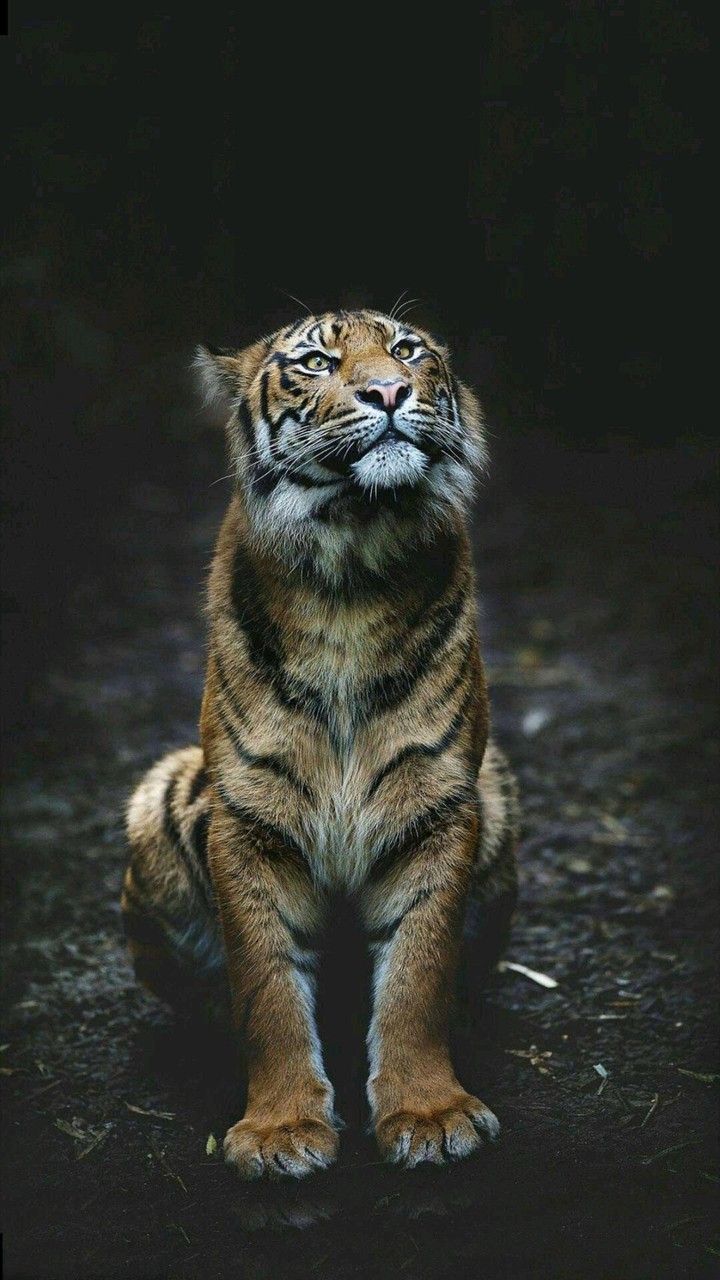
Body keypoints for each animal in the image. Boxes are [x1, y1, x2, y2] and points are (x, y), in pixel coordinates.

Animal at [122, 308, 519, 1180]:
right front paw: (279, 1131)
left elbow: (416, 975)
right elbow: (267, 986)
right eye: (315, 362)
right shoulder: (249, 817)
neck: (352, 569)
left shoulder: (440, 803)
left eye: (407, 350)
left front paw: (428, 1115)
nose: (390, 391)